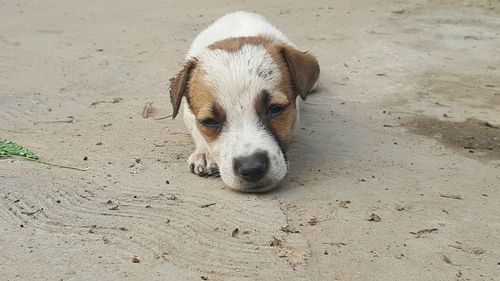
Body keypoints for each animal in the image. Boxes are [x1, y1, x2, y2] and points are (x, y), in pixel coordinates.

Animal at [169, 10, 320, 190]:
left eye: (275, 108)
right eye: (209, 121)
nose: (252, 168)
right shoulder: (188, 113)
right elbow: (196, 129)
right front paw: (204, 153)